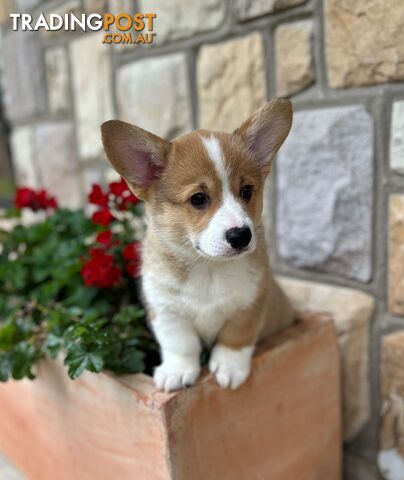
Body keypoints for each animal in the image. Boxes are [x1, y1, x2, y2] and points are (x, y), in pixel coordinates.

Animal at [102, 99, 294, 392]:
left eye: (247, 191)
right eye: (198, 199)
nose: (241, 235)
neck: (208, 267)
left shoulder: (251, 302)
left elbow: (236, 337)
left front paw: (228, 367)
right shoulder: (166, 310)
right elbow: (180, 344)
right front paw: (176, 372)